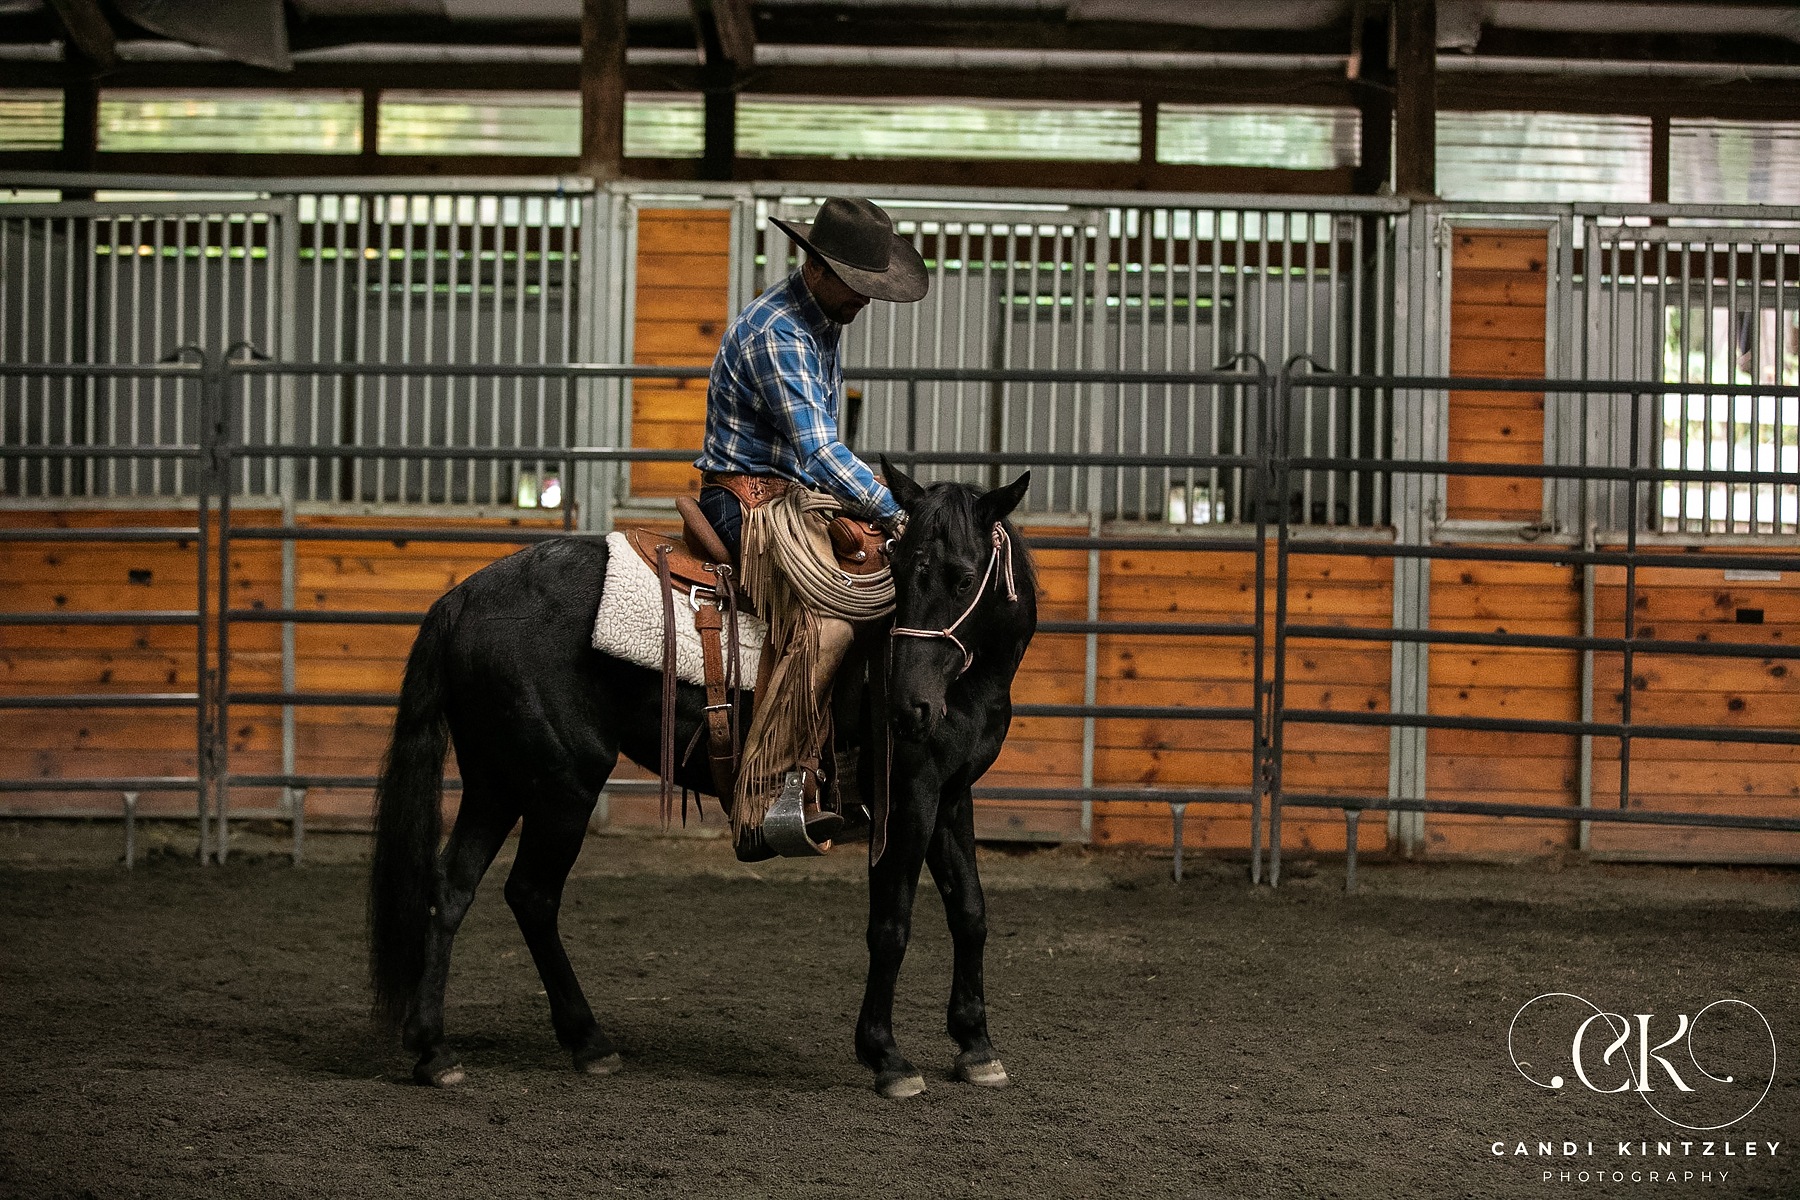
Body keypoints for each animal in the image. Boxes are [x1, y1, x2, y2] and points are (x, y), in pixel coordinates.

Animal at [365, 460, 1036, 1101]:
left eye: (962, 576)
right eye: (899, 568)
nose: (907, 707)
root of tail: (463, 597)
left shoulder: (951, 794)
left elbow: (970, 911)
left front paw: (977, 1046)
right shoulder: (909, 796)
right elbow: (892, 924)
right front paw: (887, 1057)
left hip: (497, 779)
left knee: (453, 887)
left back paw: (439, 1050)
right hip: (563, 784)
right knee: (531, 893)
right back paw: (582, 1040)